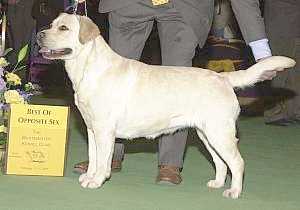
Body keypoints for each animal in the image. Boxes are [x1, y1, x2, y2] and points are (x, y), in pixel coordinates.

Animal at [37, 13, 296, 199]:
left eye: (63, 28)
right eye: (51, 24)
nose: (39, 35)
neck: (89, 68)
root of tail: (222, 77)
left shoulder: (104, 130)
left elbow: (102, 160)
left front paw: (97, 180)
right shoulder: (91, 129)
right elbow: (93, 157)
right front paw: (89, 176)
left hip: (219, 133)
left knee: (238, 162)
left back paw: (234, 191)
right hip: (206, 134)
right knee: (221, 162)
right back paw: (216, 183)